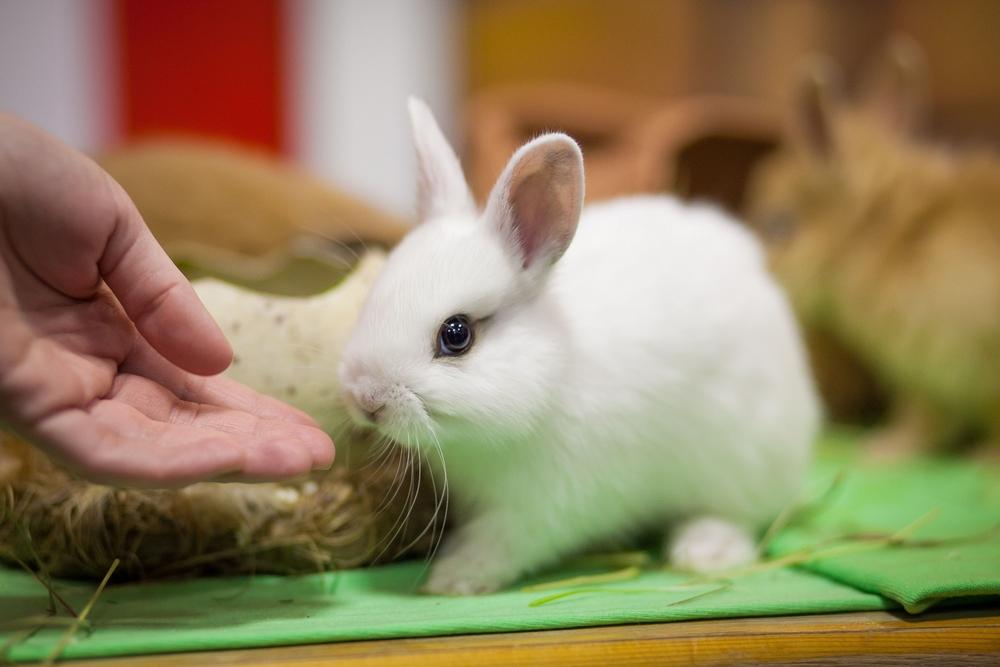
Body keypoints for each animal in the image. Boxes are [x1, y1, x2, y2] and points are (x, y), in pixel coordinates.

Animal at [340, 99, 816, 596]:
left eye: (456, 335)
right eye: (373, 296)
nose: (364, 398)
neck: (552, 373)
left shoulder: (549, 505)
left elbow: (503, 541)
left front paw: (453, 578)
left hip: (742, 461)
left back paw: (705, 550)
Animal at [748, 39, 1000, 456]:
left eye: (779, 225)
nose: (765, 275)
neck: (877, 234)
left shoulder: (946, 368)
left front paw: (880, 452)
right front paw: (884, 449)